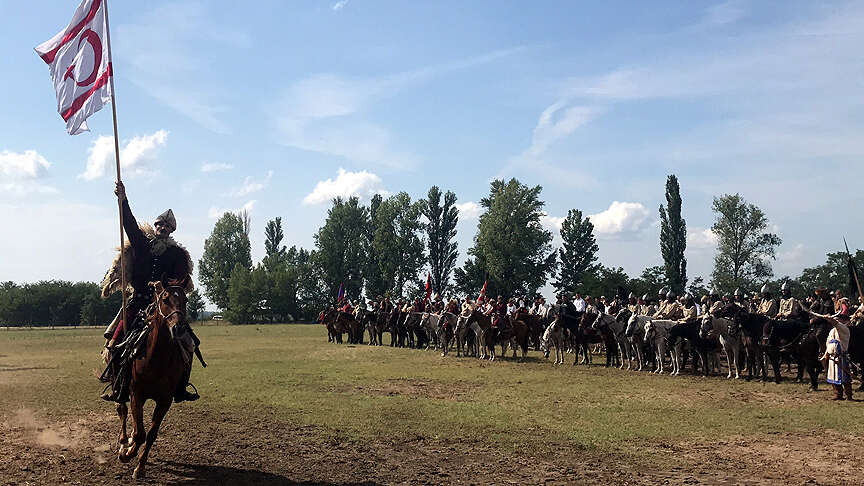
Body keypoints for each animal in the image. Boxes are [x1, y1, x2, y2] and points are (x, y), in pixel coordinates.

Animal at [115, 281, 189, 480]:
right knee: (122, 409)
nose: (179, 329)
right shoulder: (136, 394)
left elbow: (150, 434)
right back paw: (124, 442)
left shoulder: (164, 401)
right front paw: (127, 453)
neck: (157, 358)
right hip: (122, 390)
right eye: (165, 299)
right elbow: (140, 433)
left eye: (185, 300)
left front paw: (140, 467)